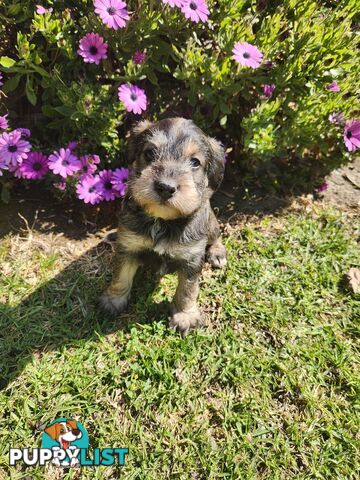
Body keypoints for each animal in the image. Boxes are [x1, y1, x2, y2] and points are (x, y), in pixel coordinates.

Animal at [100, 117, 226, 334]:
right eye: (150, 153)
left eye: (195, 162)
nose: (166, 188)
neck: (162, 221)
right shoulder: (128, 246)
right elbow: (120, 276)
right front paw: (113, 301)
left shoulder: (192, 258)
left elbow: (187, 289)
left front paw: (185, 316)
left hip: (210, 223)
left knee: (216, 235)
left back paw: (217, 253)